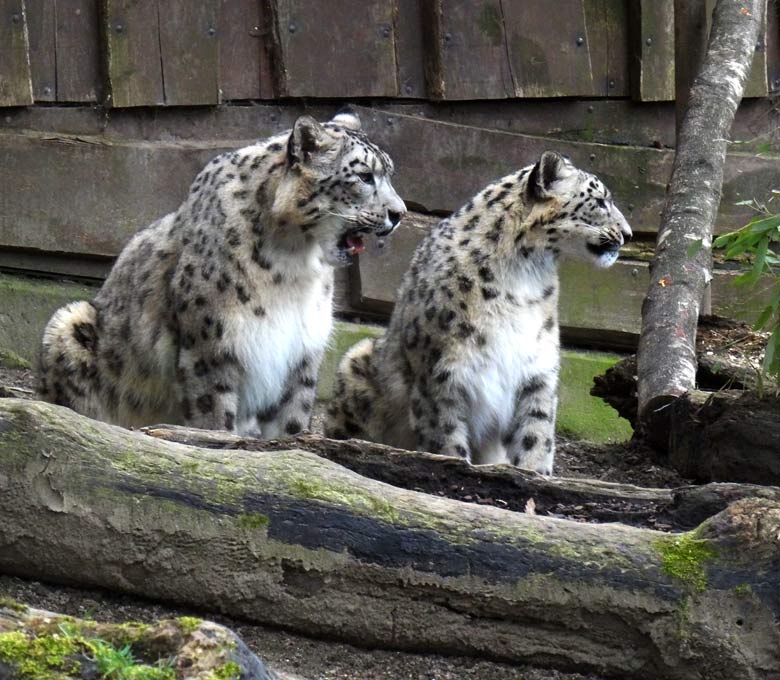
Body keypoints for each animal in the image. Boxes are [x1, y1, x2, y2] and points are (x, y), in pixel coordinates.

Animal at [324, 152, 632, 476]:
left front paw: (535, 474)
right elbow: (446, 437)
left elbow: (536, 435)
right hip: (356, 363)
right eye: (600, 201)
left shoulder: (537, 370)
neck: (524, 276)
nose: (628, 233)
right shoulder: (440, 375)